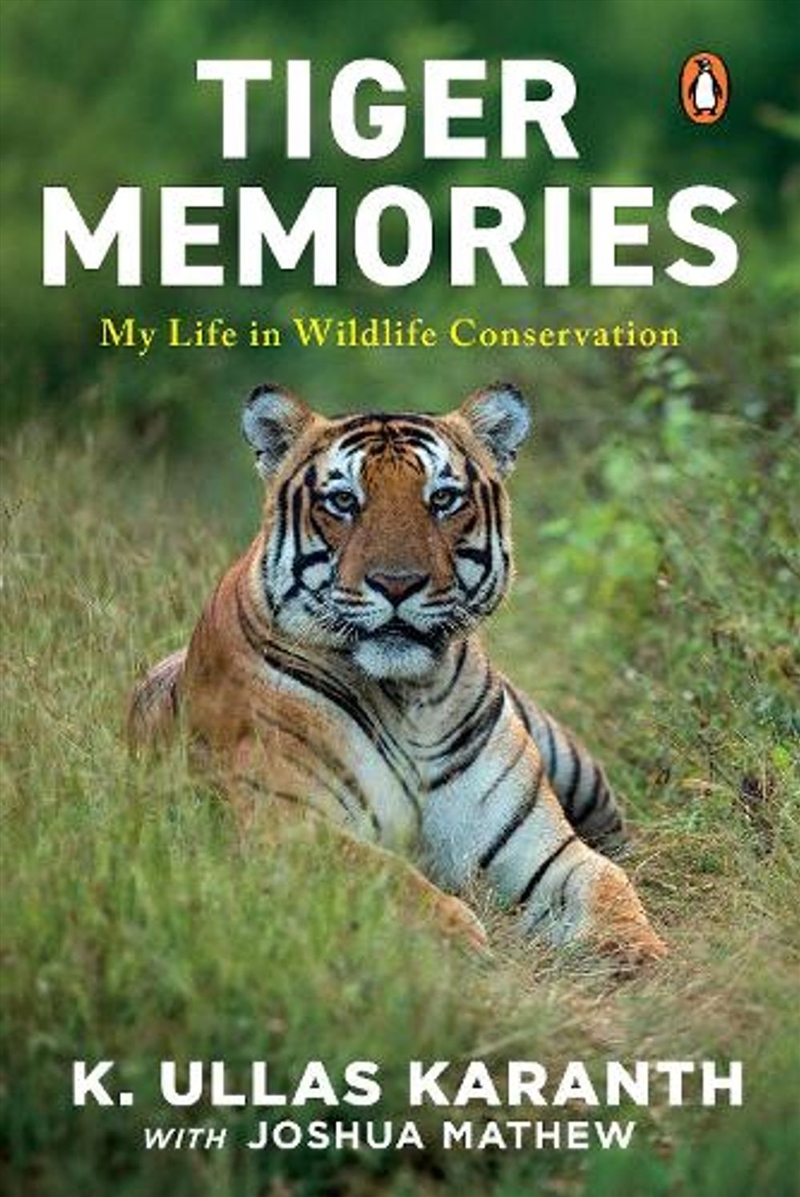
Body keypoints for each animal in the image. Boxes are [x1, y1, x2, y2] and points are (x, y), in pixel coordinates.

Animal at [129, 381, 666, 965]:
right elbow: (387, 877)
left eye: (443, 499)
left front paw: (639, 951)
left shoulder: (538, 847)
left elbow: (606, 883)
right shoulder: (288, 824)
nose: (397, 583)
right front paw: (460, 943)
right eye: (343, 502)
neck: (412, 701)